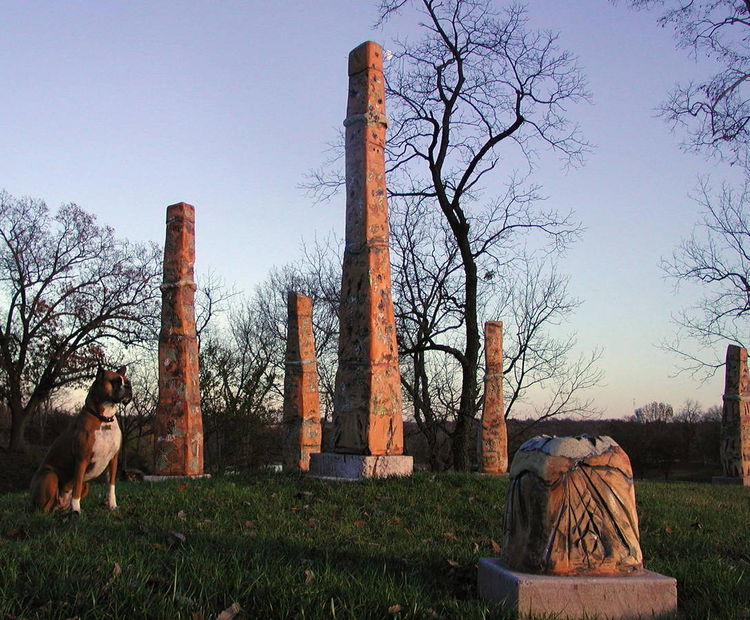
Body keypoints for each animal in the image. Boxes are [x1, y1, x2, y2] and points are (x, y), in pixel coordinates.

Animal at [30, 368, 132, 512]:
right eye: (115, 381)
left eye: (127, 381)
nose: (128, 386)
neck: (103, 419)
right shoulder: (81, 460)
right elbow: (76, 487)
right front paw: (76, 510)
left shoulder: (113, 460)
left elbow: (111, 485)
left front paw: (112, 505)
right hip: (50, 476)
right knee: (44, 509)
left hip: (86, 485)